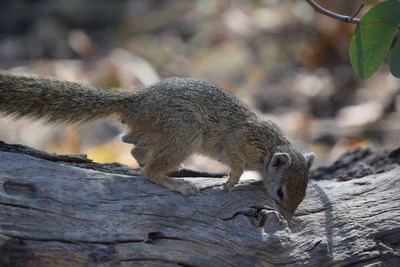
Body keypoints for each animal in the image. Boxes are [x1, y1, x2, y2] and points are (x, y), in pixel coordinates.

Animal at [0, 73, 314, 220]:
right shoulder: (241, 142)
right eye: (281, 192)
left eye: (304, 192)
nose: (289, 218)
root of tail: (134, 101)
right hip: (185, 132)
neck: (272, 145)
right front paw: (230, 183)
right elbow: (235, 163)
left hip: (163, 134)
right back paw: (177, 184)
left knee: (133, 147)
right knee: (149, 170)